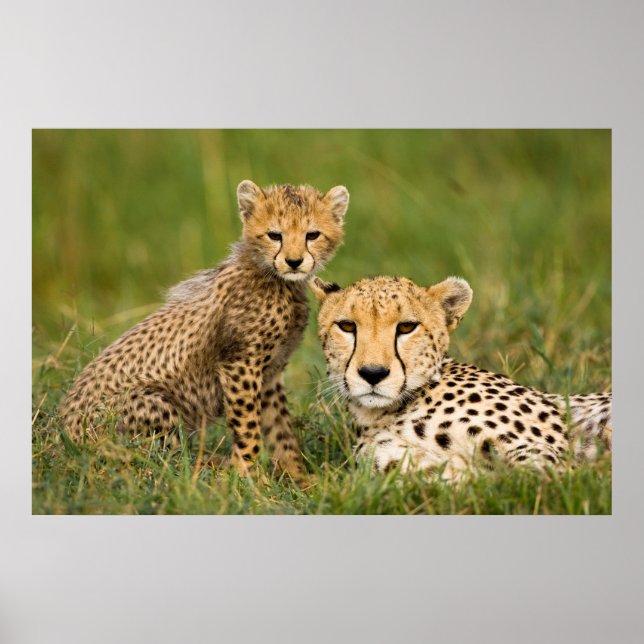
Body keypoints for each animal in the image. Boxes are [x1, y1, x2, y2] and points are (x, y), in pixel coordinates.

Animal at [59, 180, 349, 481]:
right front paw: (251, 478)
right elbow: (248, 427)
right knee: (163, 463)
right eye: (274, 235)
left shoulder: (270, 373)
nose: (294, 261)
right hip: (152, 402)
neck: (274, 279)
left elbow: (280, 430)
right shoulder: (240, 365)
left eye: (312, 235)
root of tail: (62, 436)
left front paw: (298, 477)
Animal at [311, 274, 611, 480]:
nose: (373, 373)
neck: (385, 414)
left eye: (407, 327)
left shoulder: (549, 449)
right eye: (347, 326)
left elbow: (535, 475)